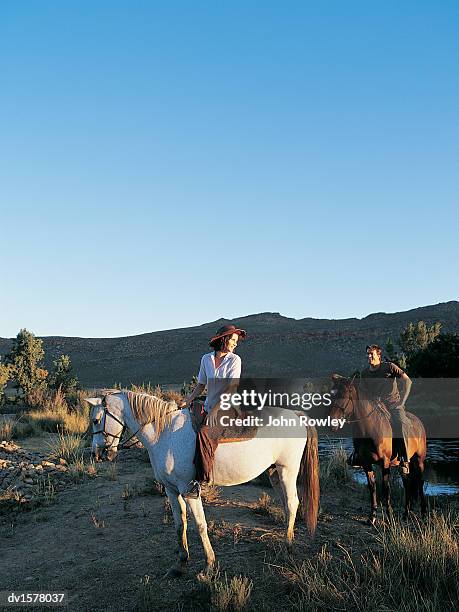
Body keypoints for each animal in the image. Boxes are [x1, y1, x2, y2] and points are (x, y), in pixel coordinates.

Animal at [88, 390, 322, 576]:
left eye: (96, 420)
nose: (97, 454)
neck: (164, 434)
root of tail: (297, 416)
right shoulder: (171, 490)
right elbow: (179, 524)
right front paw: (180, 563)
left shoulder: (189, 489)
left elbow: (200, 524)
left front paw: (209, 565)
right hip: (274, 472)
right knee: (286, 504)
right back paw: (285, 537)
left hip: (287, 470)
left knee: (292, 503)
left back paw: (288, 546)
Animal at [330, 372, 428, 524]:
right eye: (331, 395)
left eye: (344, 395)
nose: (332, 423)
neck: (370, 429)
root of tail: (418, 422)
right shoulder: (366, 463)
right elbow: (372, 488)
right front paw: (372, 517)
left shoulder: (385, 462)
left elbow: (386, 489)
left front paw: (389, 517)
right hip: (403, 465)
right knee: (407, 483)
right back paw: (406, 514)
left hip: (419, 460)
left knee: (420, 482)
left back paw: (423, 514)